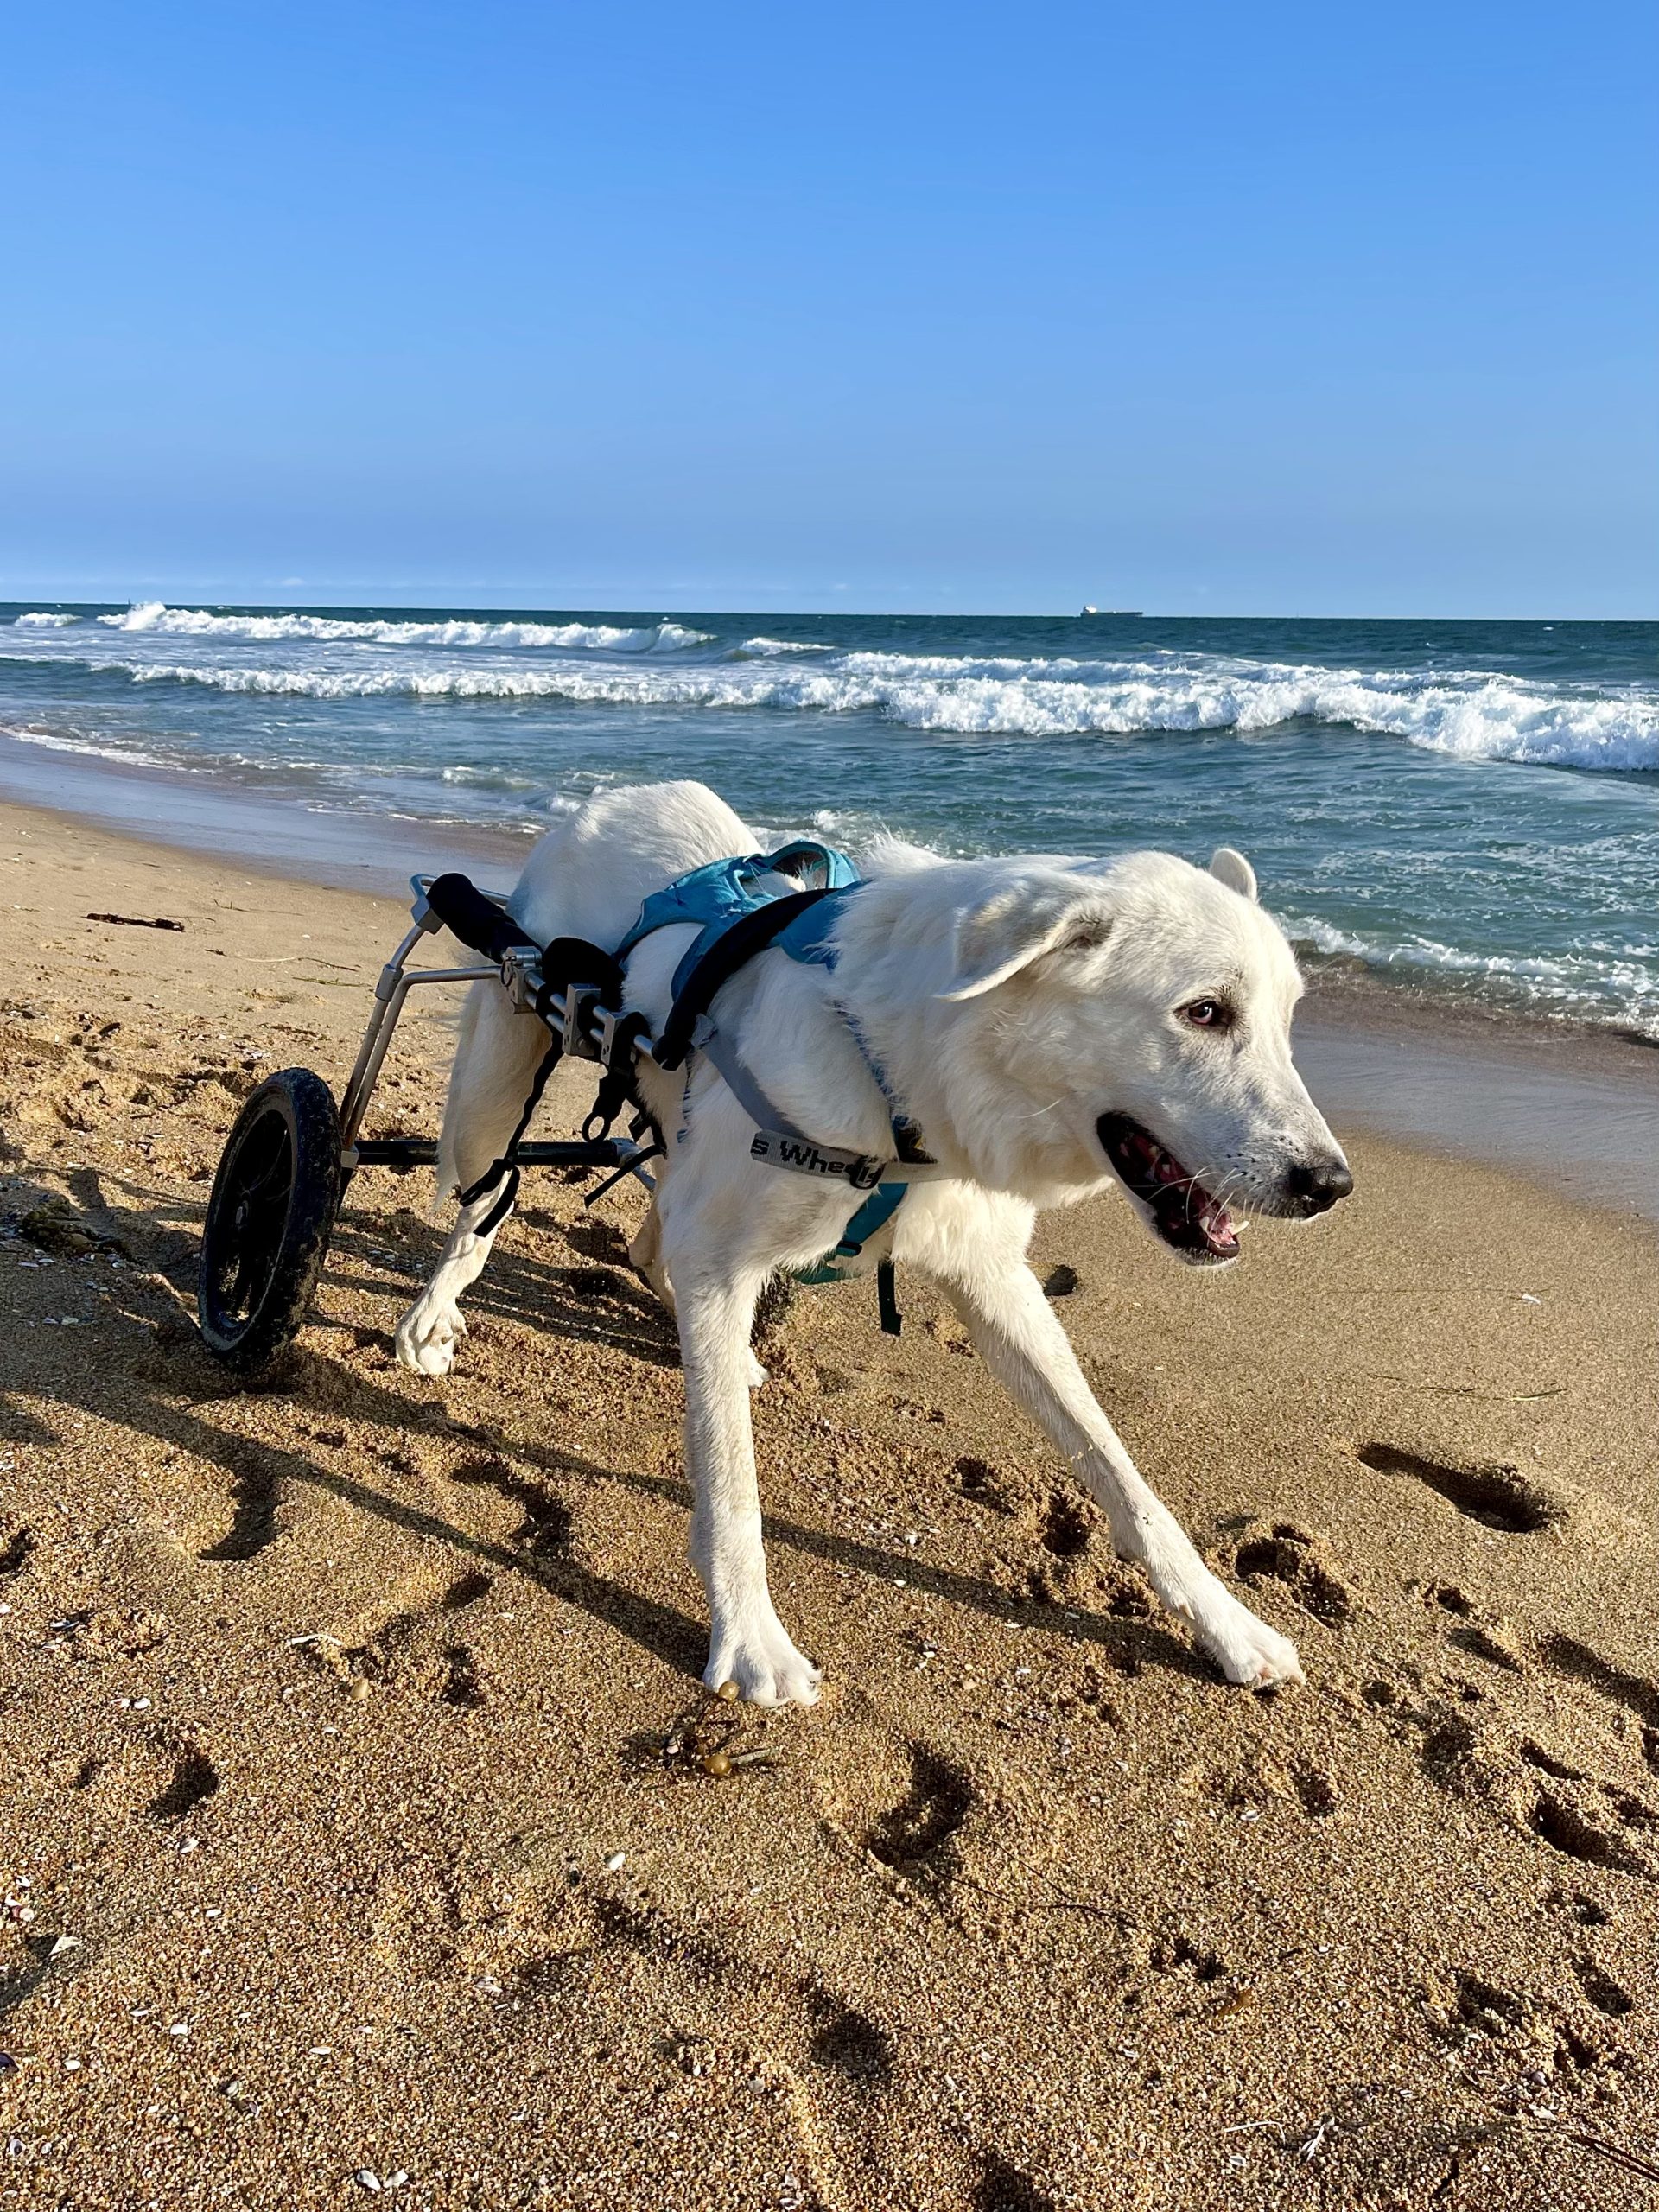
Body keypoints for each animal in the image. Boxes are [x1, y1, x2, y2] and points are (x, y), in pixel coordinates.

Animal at [396, 787, 1353, 1699]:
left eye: (1287, 1021)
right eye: (1204, 1012)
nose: (1330, 1186)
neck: (901, 1076)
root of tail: (619, 797)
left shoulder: (995, 1280)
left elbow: (1123, 1474)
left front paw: (1231, 1627)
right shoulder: (725, 1249)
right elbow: (731, 1480)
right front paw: (752, 1643)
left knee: (655, 1235)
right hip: (497, 1077)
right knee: (481, 1207)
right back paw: (433, 1317)